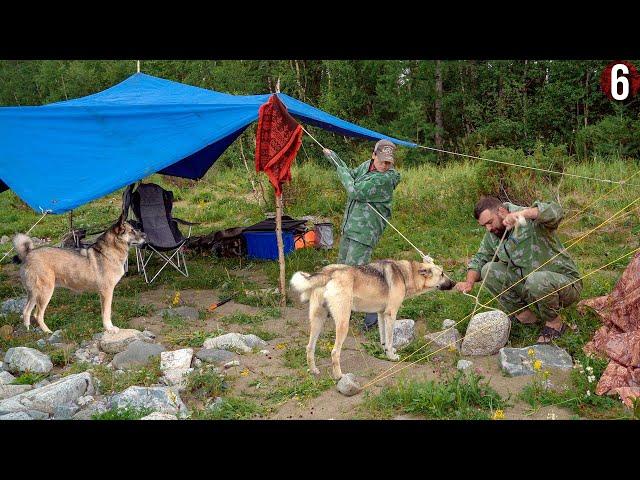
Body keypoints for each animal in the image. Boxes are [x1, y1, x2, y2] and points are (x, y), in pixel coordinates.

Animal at [13, 217, 146, 334]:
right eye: (132, 230)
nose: (145, 235)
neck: (108, 252)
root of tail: (28, 254)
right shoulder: (107, 291)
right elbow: (107, 312)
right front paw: (109, 328)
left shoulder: (102, 293)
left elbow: (103, 312)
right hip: (45, 292)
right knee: (37, 314)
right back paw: (47, 332)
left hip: (33, 294)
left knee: (26, 311)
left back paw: (28, 331)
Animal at [290, 260, 456, 380]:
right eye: (442, 274)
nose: (455, 283)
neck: (404, 274)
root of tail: (328, 272)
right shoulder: (391, 315)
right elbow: (390, 339)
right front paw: (392, 357)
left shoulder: (381, 315)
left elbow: (384, 340)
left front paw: (386, 352)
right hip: (343, 324)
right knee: (334, 352)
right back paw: (339, 376)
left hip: (318, 321)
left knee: (309, 347)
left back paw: (313, 370)